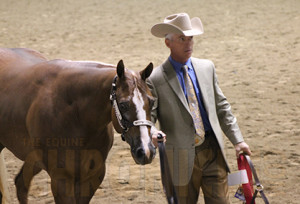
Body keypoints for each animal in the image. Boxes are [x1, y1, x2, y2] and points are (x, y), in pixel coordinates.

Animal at [0, 47, 155, 202]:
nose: (146, 151)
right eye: (123, 105)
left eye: (152, 102)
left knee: (21, 183)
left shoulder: (92, 177)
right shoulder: (61, 180)